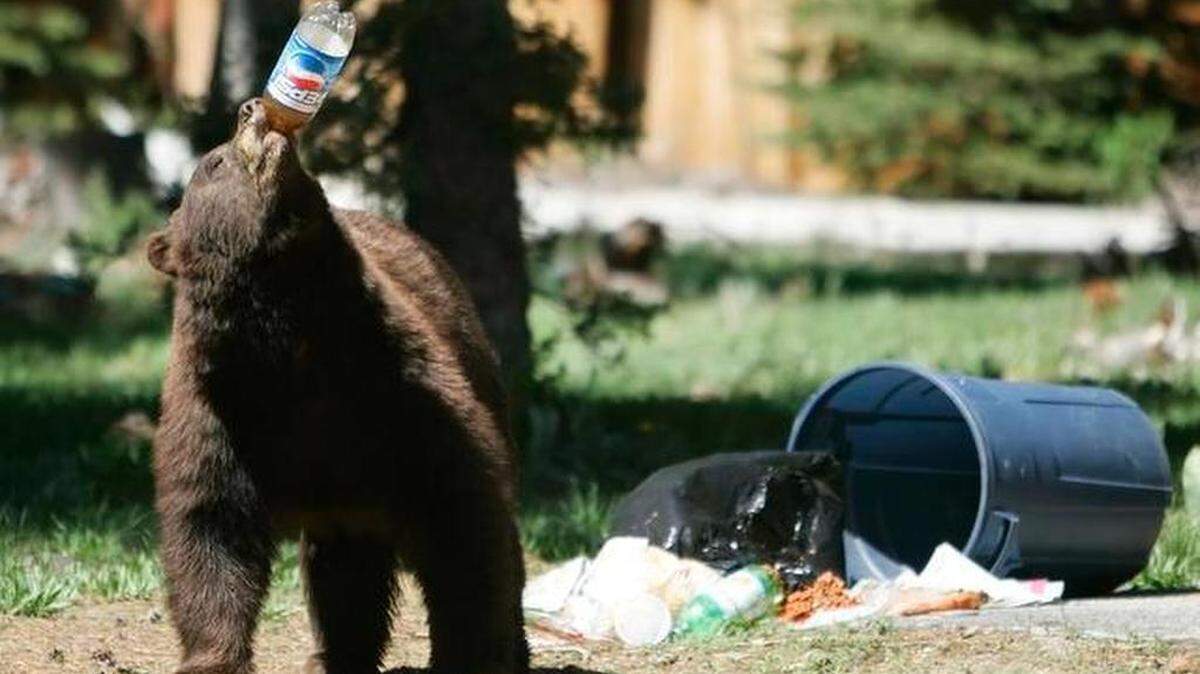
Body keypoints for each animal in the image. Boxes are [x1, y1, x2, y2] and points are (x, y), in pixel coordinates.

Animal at [147, 98, 528, 674]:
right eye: (213, 162)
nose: (251, 108)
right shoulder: (219, 409)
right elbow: (209, 526)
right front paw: (213, 658)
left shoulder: (395, 387)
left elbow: (463, 521)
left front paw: (471, 652)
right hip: (343, 501)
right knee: (343, 572)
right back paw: (335, 655)